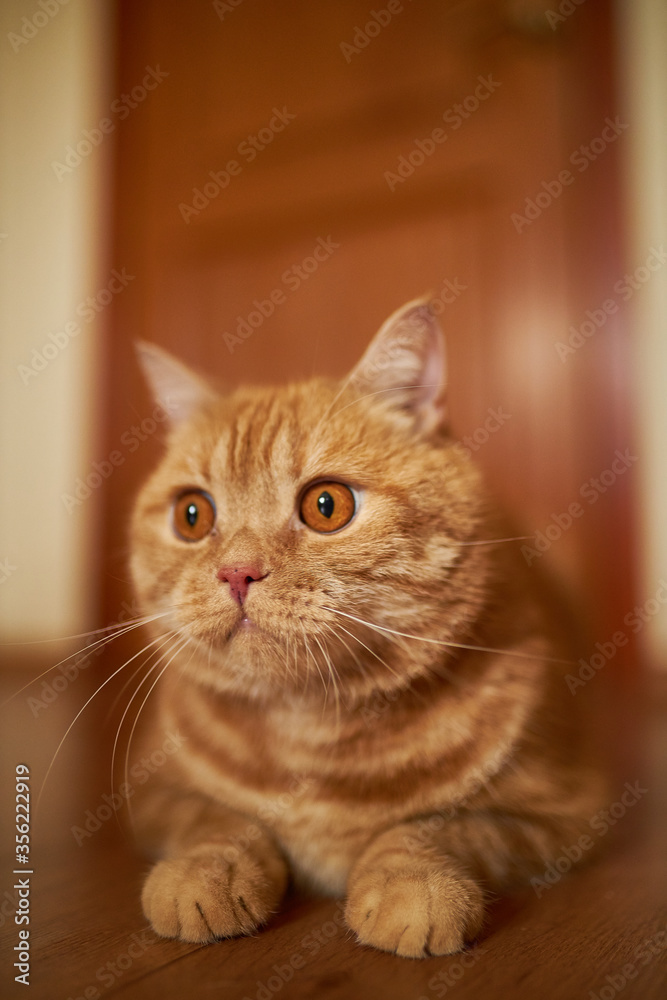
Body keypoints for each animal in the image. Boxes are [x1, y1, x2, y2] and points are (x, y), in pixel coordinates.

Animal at [128, 300, 604, 956]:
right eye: (192, 515)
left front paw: (415, 885)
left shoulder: (563, 813)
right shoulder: (152, 794)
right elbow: (211, 819)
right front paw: (206, 871)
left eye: (326, 505)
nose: (236, 572)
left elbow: (439, 827)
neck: (306, 732)